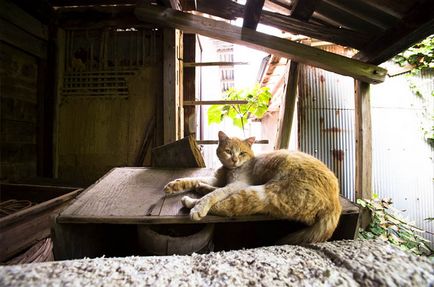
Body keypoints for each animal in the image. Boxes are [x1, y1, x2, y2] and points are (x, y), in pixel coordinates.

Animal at [164, 132, 342, 244]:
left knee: (225, 207)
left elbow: (216, 194)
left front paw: (200, 205)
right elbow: (192, 179)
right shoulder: (217, 179)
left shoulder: (236, 184)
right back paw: (199, 190)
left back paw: (191, 202)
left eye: (242, 153)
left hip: (262, 192)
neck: (230, 170)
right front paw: (174, 185)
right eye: (228, 151)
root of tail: (335, 203)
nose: (234, 159)